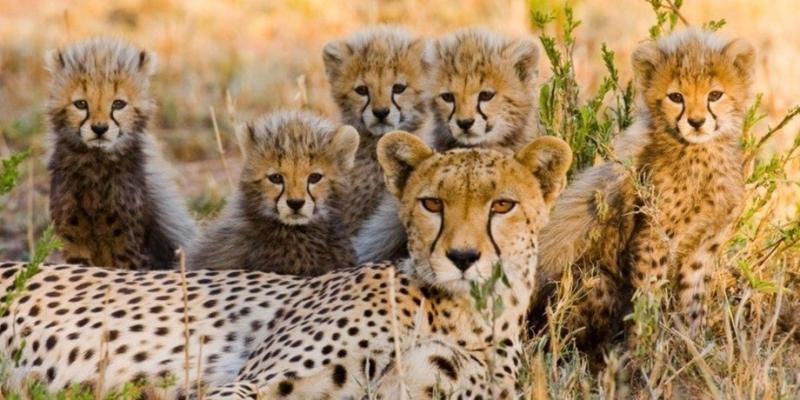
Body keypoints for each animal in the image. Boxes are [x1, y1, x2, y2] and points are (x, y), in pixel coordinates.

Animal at [46, 37, 196, 270]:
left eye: (118, 104)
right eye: (81, 104)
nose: (99, 129)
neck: (95, 164)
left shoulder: (127, 245)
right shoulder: (74, 240)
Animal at [531, 29, 754, 351]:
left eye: (715, 95)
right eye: (676, 97)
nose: (696, 122)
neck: (701, 153)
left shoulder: (704, 245)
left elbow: (693, 296)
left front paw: (693, 346)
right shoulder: (653, 239)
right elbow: (648, 294)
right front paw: (642, 349)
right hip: (594, 281)